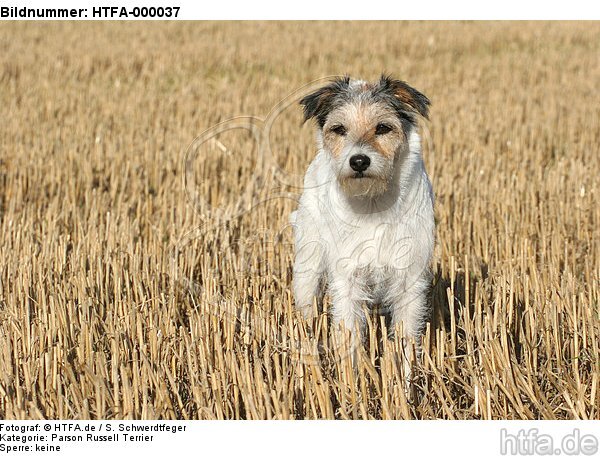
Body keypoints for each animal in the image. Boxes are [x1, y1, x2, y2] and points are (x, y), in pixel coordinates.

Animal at [290, 75, 434, 374]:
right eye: (339, 129)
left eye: (383, 127)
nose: (358, 161)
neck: (372, 203)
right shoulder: (347, 279)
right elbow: (349, 333)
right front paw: (353, 379)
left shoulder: (410, 281)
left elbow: (405, 338)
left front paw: (405, 381)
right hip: (308, 265)